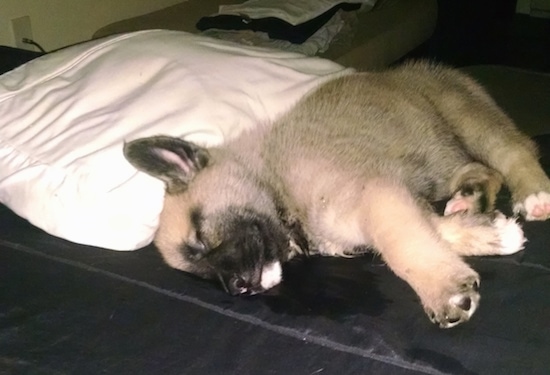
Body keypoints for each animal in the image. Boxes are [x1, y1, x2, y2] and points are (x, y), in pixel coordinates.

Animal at [125, 60, 550, 328]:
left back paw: (535, 194)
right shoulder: (389, 198)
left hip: (467, 118)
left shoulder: (375, 195)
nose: (239, 289)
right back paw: (469, 198)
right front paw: (491, 233)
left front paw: (443, 290)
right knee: (479, 171)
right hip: (445, 161)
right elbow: (429, 228)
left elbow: (402, 245)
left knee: (515, 151)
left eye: (200, 239)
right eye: (197, 273)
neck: (275, 182)